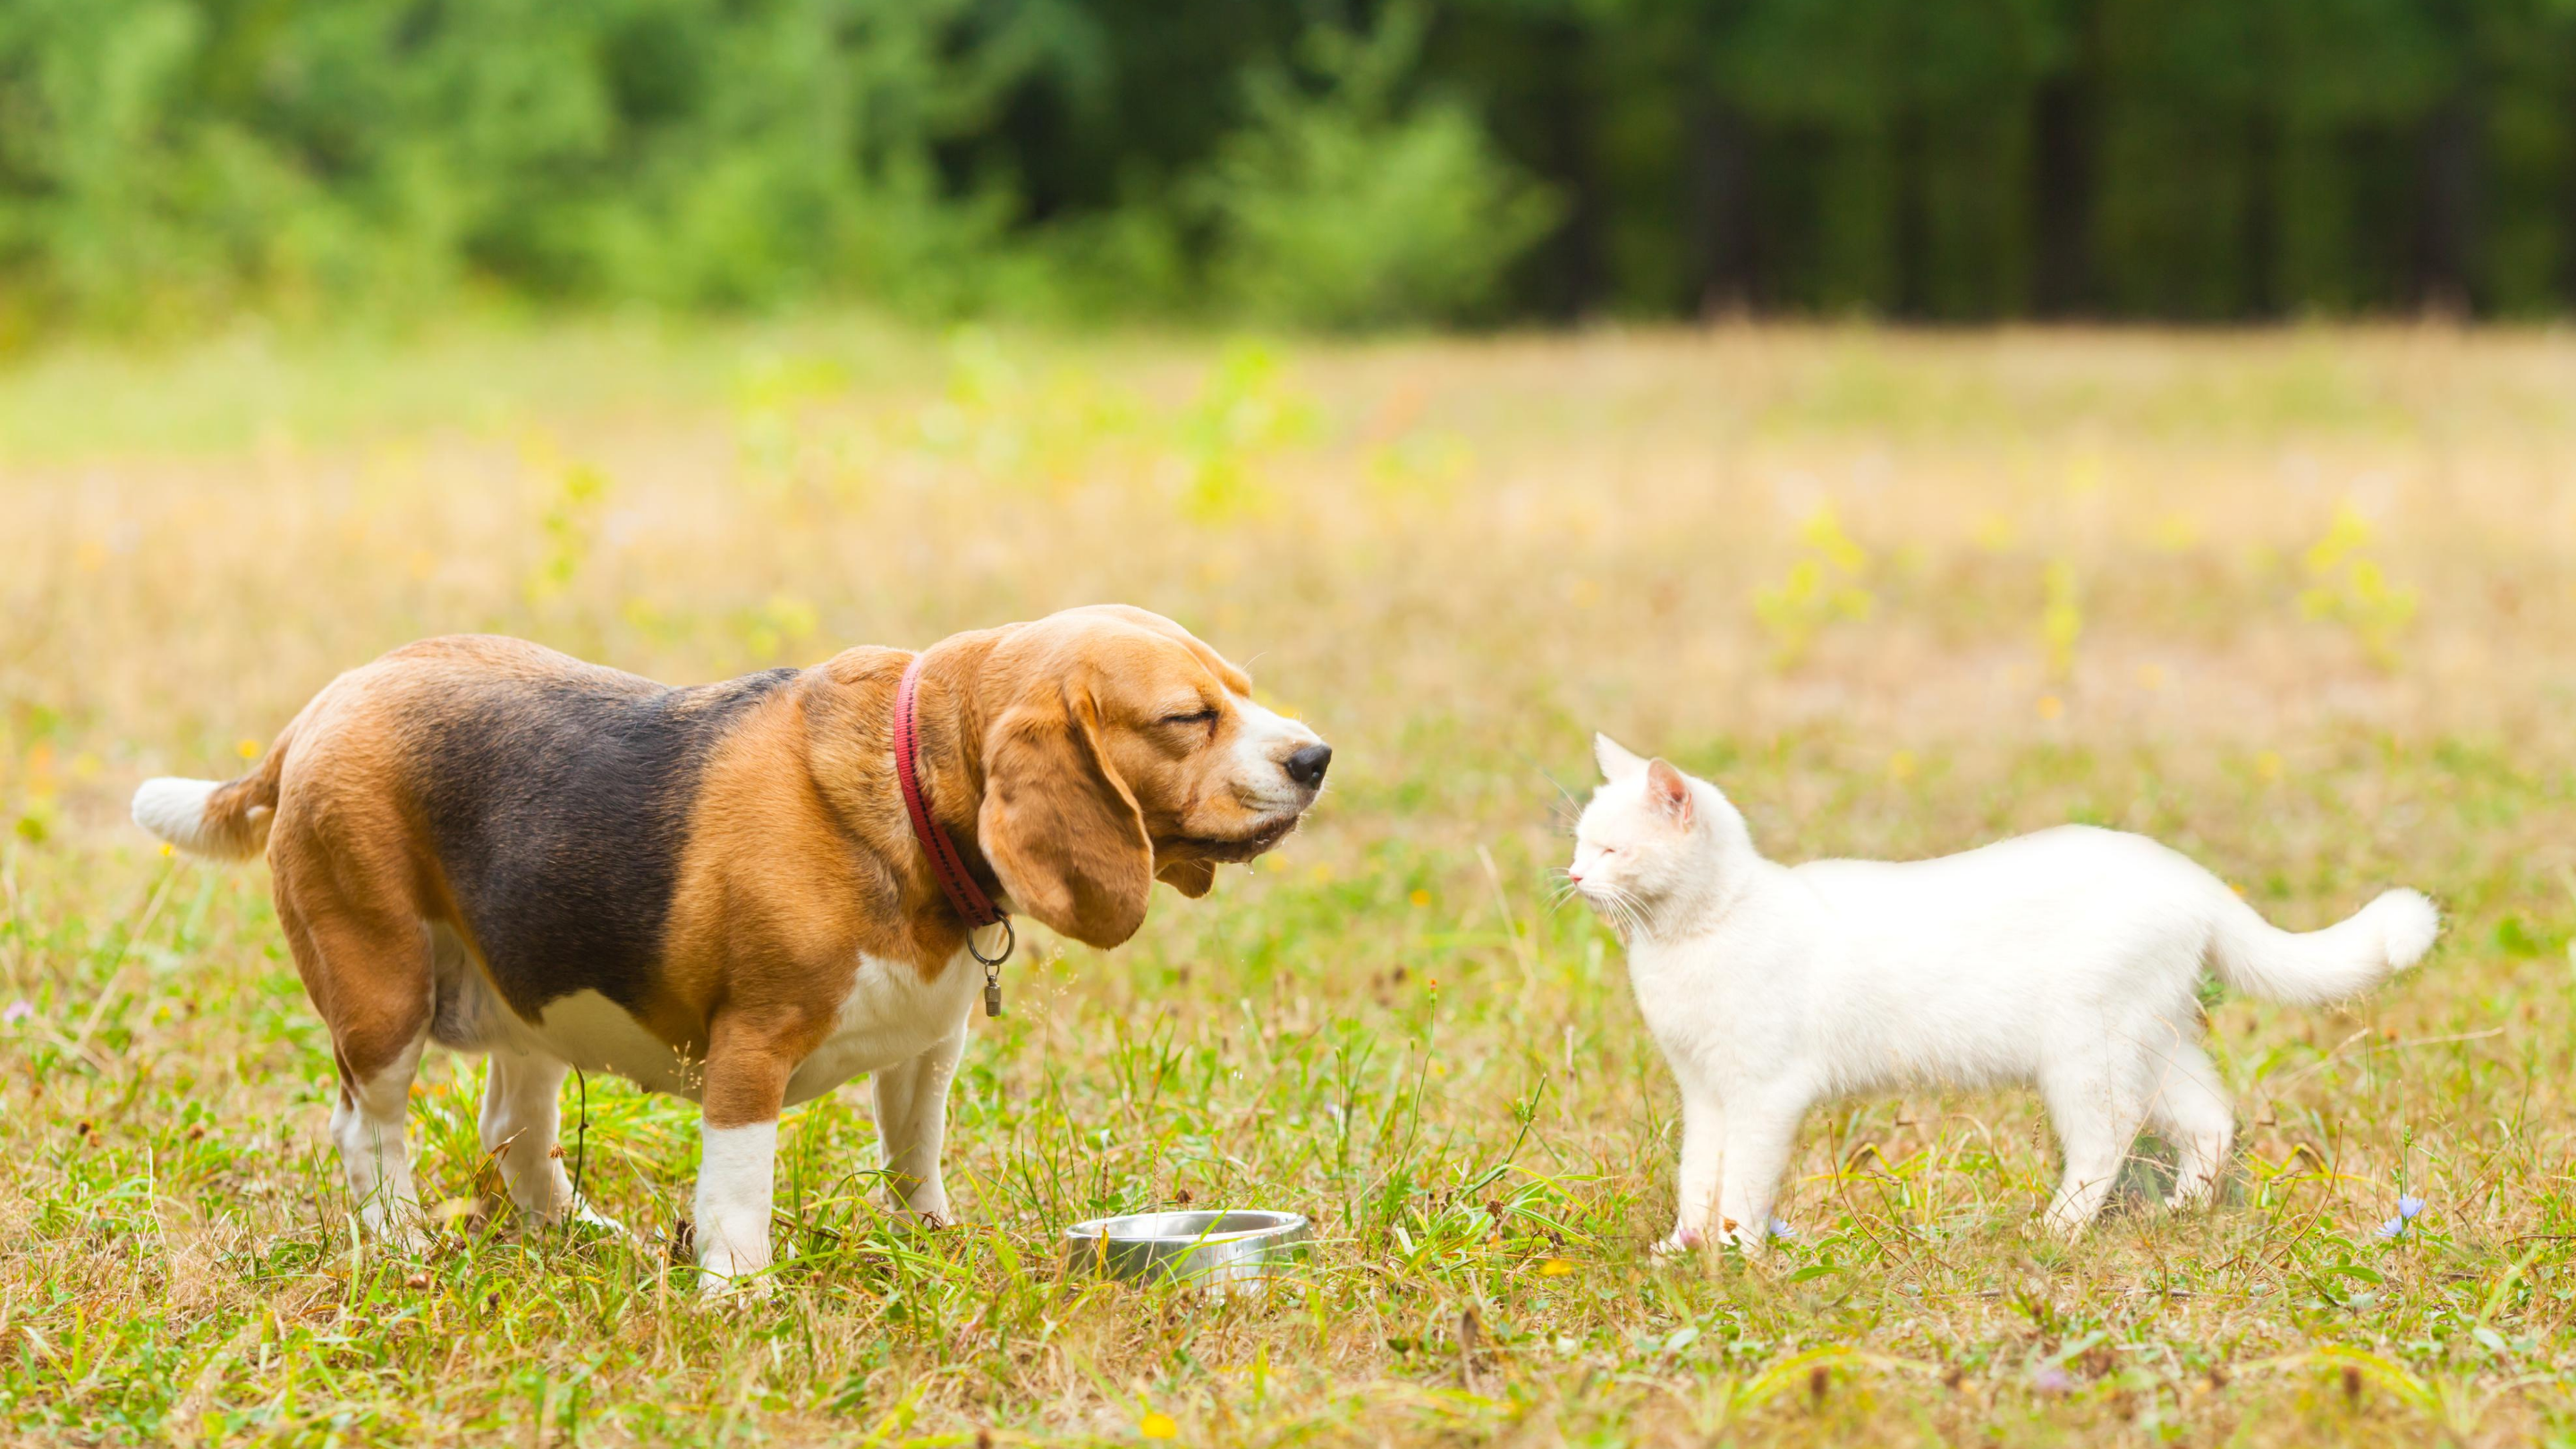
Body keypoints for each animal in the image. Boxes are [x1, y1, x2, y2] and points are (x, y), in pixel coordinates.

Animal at [133, 603, 1329, 1278]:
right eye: (1188, 718)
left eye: (1245, 692)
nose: (1316, 757)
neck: (909, 789)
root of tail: (321, 709)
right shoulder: (750, 1052)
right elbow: (738, 1198)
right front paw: (741, 1297)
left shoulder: (925, 1055)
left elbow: (914, 1159)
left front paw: (932, 1245)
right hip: (381, 995)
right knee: (367, 1132)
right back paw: (400, 1247)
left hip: (528, 1003)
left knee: (514, 1133)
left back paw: (577, 1238)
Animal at [1566, 732, 2431, 1242]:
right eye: (1579, 842)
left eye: (1611, 850)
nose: (1572, 877)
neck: (1689, 941)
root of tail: (2188, 874)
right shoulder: (1705, 1091)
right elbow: (1697, 1178)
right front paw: (1684, 1250)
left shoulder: (1762, 1093)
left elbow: (1741, 1183)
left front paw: (1737, 1255)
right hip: (2155, 1043)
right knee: (2212, 1119)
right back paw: (2181, 1212)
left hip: (2087, 1053)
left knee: (2107, 1141)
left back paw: (2058, 1229)